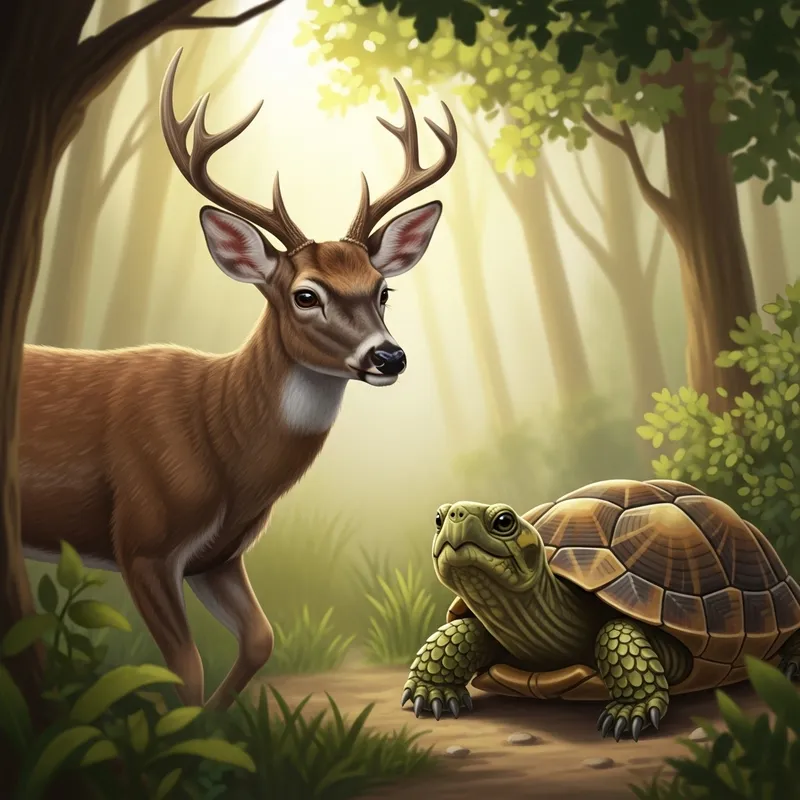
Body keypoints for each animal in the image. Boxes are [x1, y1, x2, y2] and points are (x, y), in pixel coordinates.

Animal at [19, 48, 457, 709]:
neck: (219, 440)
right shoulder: (143, 541)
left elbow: (261, 640)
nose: (389, 357)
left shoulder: (218, 556)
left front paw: (215, 722)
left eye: (383, 289)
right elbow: (185, 670)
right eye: (306, 294)